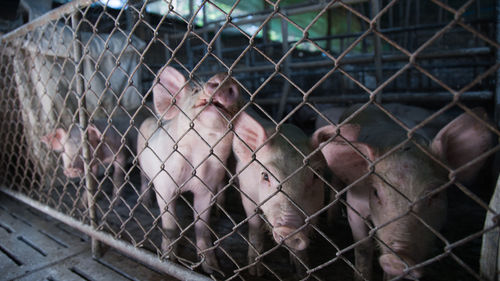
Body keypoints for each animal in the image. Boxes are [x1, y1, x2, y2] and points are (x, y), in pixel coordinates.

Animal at [136, 65, 239, 272]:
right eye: (195, 90)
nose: (224, 77)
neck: (197, 158)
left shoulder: (208, 187)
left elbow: (202, 225)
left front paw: (212, 268)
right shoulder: (164, 182)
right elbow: (169, 222)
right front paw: (168, 259)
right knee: (143, 179)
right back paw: (146, 203)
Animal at [232, 110, 326, 276]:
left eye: (316, 175)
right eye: (265, 176)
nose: (289, 228)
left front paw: (301, 270)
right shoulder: (246, 190)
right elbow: (255, 227)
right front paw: (255, 272)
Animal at [312, 104, 492, 278]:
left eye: (435, 194)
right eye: (376, 192)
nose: (399, 259)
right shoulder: (355, 203)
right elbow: (363, 247)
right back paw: (332, 221)